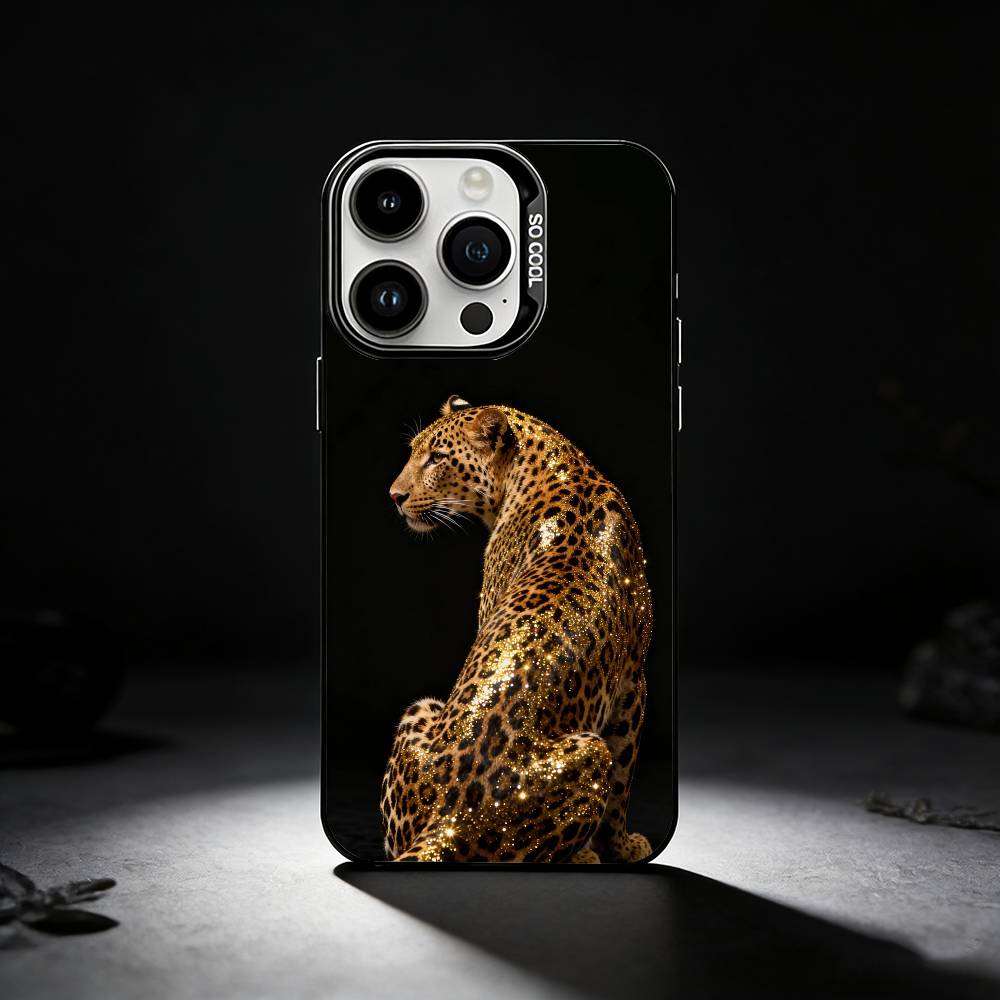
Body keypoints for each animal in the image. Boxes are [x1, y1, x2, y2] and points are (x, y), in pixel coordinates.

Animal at [380, 395, 653, 863]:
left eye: (436, 457)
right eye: (414, 451)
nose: (396, 496)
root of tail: (448, 817)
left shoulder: (633, 679)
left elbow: (624, 779)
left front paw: (621, 845)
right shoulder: (633, 680)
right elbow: (623, 778)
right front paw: (621, 846)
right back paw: (584, 855)